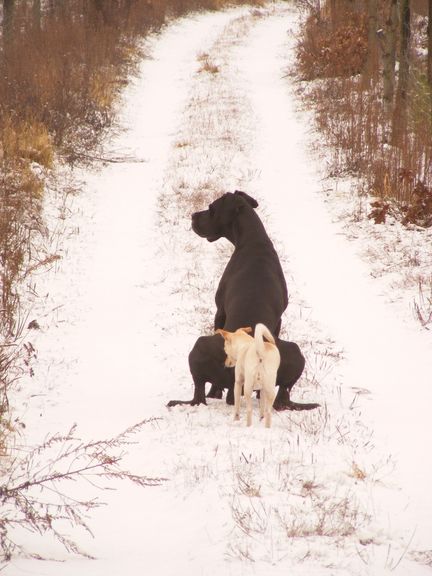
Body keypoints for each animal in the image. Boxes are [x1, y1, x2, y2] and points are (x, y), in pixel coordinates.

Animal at [167, 191, 318, 412]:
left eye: (211, 208)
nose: (193, 215)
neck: (253, 240)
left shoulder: (220, 310)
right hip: (295, 352)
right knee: (282, 397)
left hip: (199, 345)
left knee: (199, 395)